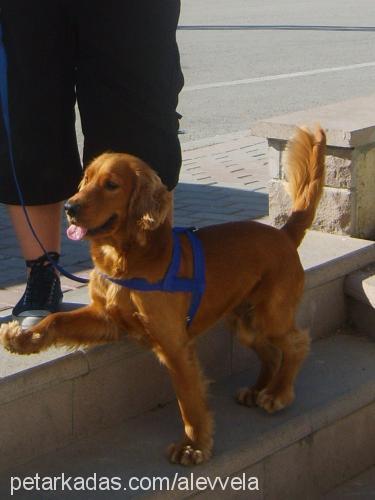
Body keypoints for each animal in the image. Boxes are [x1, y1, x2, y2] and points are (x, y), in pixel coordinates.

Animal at [0, 127, 326, 466]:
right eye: (85, 179)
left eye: (111, 185)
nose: (69, 208)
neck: (126, 260)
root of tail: (284, 233)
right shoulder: (106, 318)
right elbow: (57, 319)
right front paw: (23, 338)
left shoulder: (174, 343)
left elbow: (188, 400)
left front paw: (193, 446)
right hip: (244, 322)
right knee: (272, 351)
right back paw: (258, 389)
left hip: (269, 314)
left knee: (297, 343)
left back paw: (277, 393)